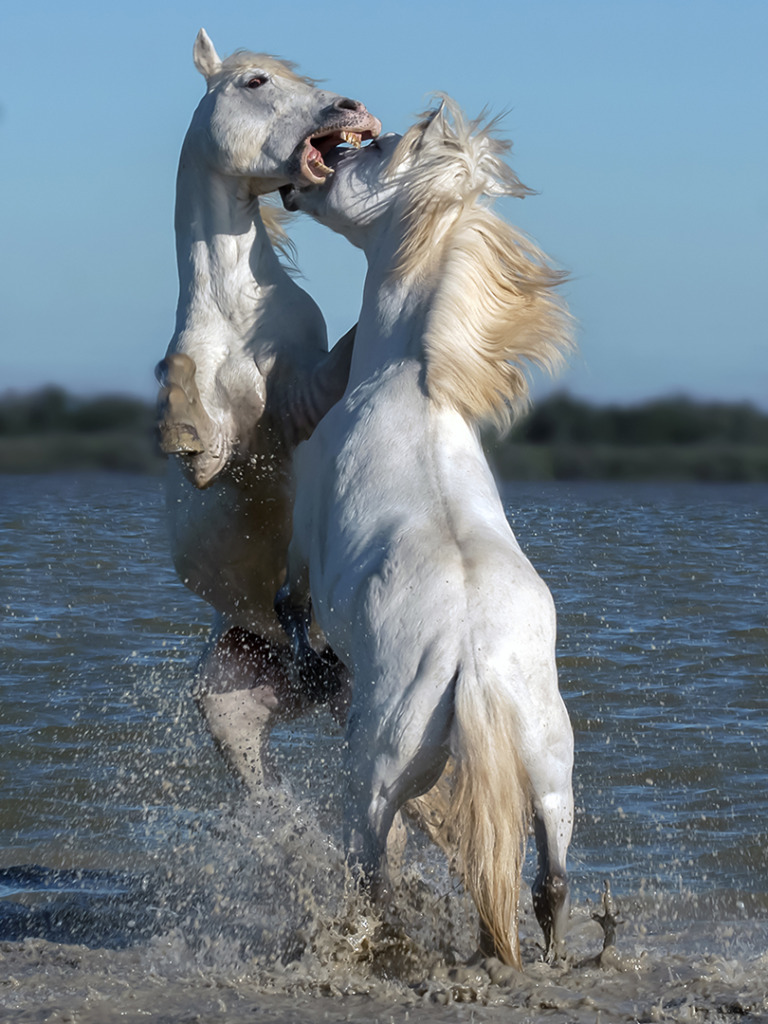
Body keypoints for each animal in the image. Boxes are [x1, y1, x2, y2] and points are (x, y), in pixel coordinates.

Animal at [155, 30, 380, 785]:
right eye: (255, 82)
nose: (352, 108)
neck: (236, 307)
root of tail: (307, 676)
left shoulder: (301, 395)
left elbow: (340, 358)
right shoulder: (221, 447)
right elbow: (198, 428)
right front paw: (178, 426)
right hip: (227, 706)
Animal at [276, 99, 575, 967]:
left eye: (367, 150)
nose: (291, 186)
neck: (407, 380)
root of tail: (474, 662)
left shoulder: (303, 536)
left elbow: (290, 599)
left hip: (372, 780)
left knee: (375, 880)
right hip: (552, 773)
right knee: (547, 883)